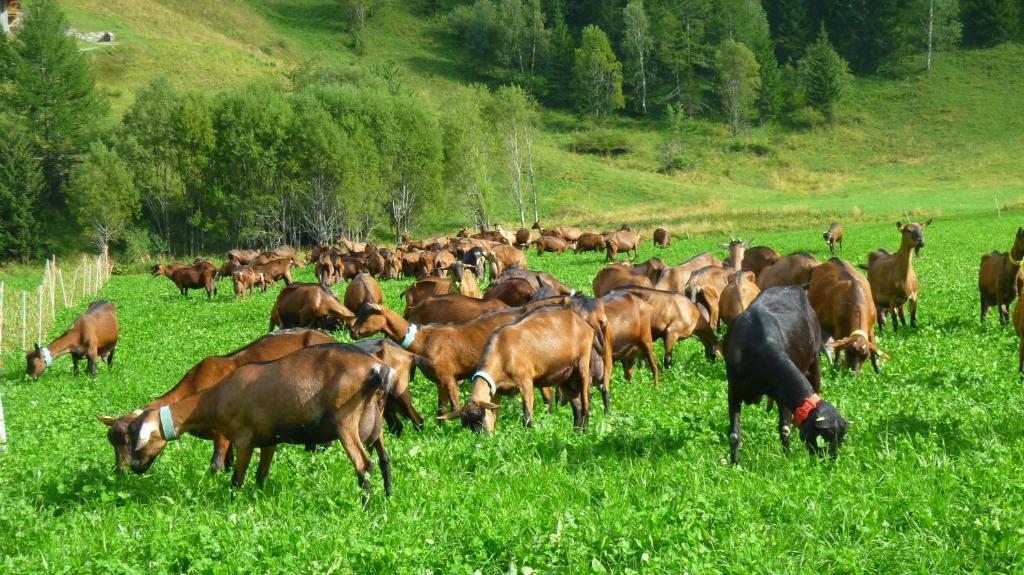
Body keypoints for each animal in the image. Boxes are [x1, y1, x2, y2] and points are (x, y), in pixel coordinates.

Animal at [98, 327, 333, 470]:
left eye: (131, 441)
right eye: (113, 443)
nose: (121, 470)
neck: (194, 388)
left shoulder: (222, 435)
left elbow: (217, 464)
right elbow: (228, 462)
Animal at [126, 341, 395, 499]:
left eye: (138, 444)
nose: (135, 468)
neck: (216, 397)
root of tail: (377, 369)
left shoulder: (244, 440)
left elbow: (236, 480)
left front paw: (231, 504)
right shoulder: (269, 441)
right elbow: (261, 476)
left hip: (346, 423)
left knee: (364, 465)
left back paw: (365, 506)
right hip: (375, 424)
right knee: (384, 460)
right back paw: (388, 497)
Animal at [720, 284, 847, 462]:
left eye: (841, 440)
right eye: (824, 437)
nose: (830, 462)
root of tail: (796, 287)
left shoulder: (782, 395)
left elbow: (785, 429)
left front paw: (788, 459)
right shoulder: (734, 390)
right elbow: (734, 435)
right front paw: (734, 463)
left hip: (814, 360)